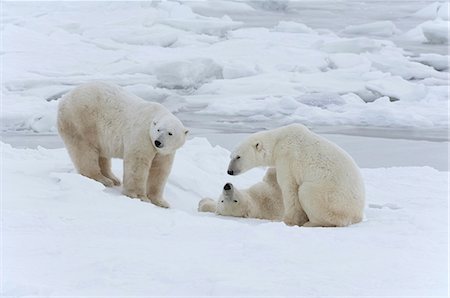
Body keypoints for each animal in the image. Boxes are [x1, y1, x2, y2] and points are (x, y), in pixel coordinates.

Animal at [57, 81, 188, 207]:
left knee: (102, 155)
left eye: (170, 133)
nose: (158, 142)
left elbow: (160, 170)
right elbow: (138, 163)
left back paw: (113, 178)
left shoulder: (165, 152)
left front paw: (161, 202)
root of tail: (63, 99)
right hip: (82, 121)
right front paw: (139, 196)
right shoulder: (142, 135)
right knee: (85, 152)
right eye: (158, 130)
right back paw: (103, 179)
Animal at [229, 124, 366, 227]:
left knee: (307, 192)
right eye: (231, 156)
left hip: (332, 199)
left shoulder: (287, 157)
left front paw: (289, 220)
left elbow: (289, 188)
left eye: (238, 156)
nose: (229, 171)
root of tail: (356, 214)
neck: (278, 141)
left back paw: (311, 223)